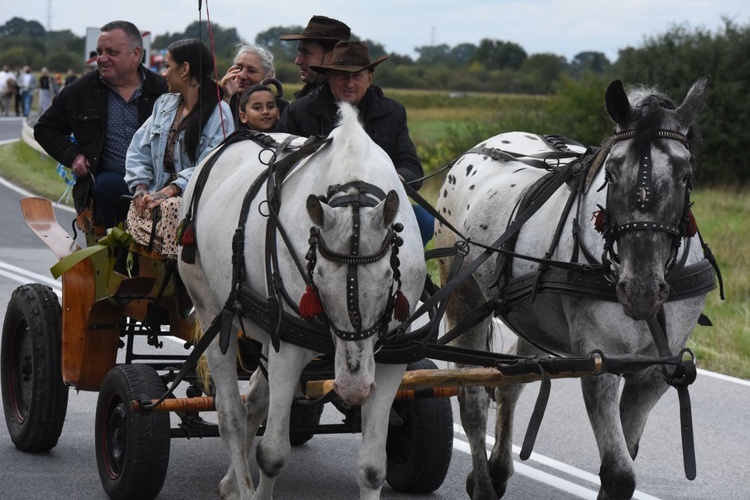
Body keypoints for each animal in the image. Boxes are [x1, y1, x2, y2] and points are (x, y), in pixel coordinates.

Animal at [175, 103, 424, 498]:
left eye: (389, 278)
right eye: (318, 277)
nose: (353, 390)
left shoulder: (391, 360)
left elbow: (372, 469)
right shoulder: (289, 348)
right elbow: (272, 455)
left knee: (255, 403)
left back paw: (231, 481)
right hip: (212, 309)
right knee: (231, 415)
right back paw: (240, 483)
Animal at [434, 76, 716, 498]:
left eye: (685, 174)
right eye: (611, 173)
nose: (641, 291)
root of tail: (480, 148)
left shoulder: (653, 374)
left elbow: (623, 456)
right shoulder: (600, 362)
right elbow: (619, 473)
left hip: (533, 319)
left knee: (510, 383)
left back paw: (497, 470)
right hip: (464, 297)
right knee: (472, 402)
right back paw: (483, 483)